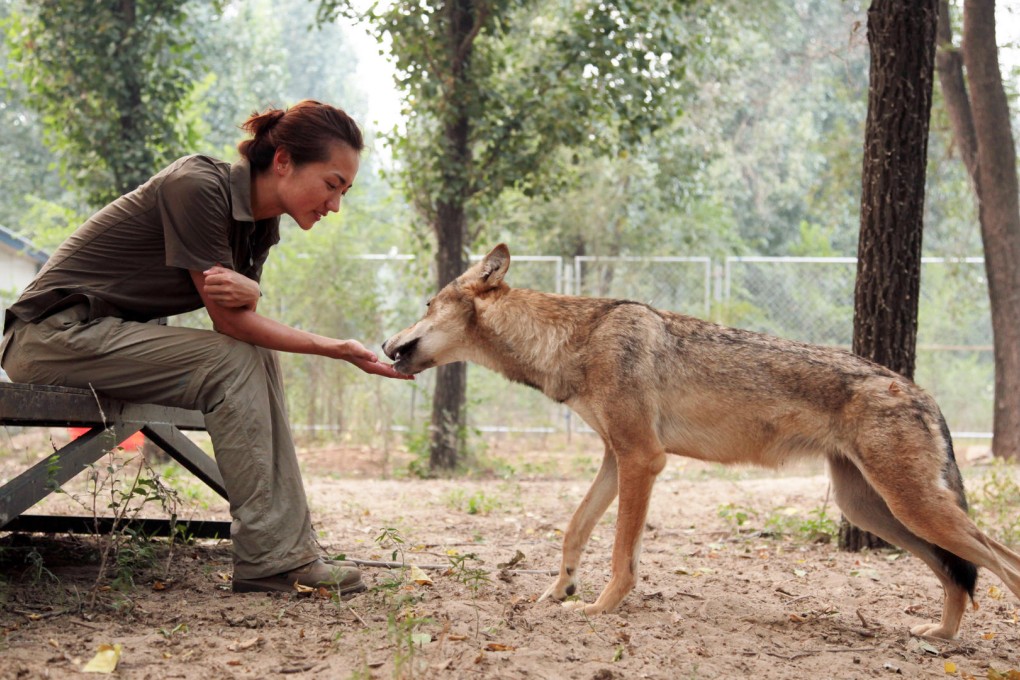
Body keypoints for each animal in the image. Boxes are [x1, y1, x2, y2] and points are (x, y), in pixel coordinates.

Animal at [381, 243, 1020, 640]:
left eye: (426, 304)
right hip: (874, 510)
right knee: (958, 573)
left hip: (911, 507)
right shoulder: (614, 459)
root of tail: (923, 392)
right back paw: (940, 634)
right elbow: (574, 531)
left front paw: (600, 607)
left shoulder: (643, 460)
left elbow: (621, 554)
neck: (572, 340)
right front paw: (556, 594)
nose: (386, 344)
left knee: (1000, 561)